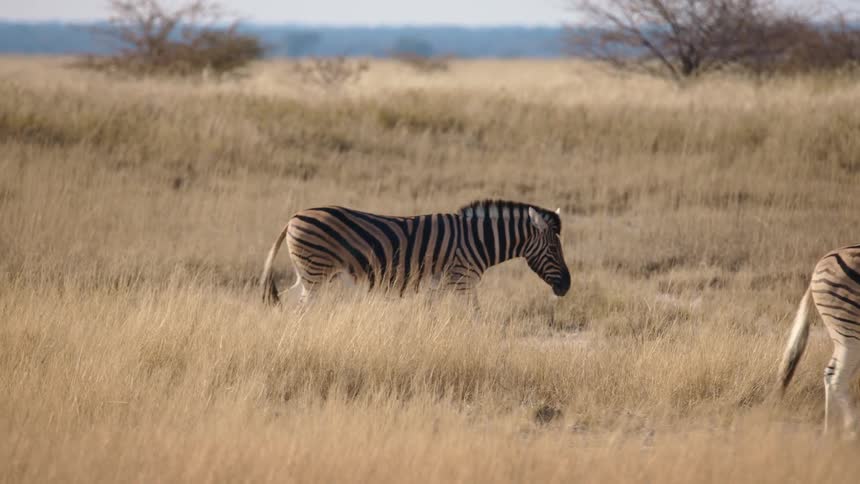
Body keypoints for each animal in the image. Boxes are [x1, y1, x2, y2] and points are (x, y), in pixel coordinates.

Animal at [260, 200, 571, 308]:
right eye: (553, 249)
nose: (567, 287)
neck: (477, 239)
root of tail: (294, 217)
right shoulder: (462, 279)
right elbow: (475, 315)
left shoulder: (439, 284)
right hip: (315, 274)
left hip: (309, 275)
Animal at [779, 244, 860, 438]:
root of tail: (823, 260)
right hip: (850, 331)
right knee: (837, 376)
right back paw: (852, 430)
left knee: (830, 373)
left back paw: (830, 430)